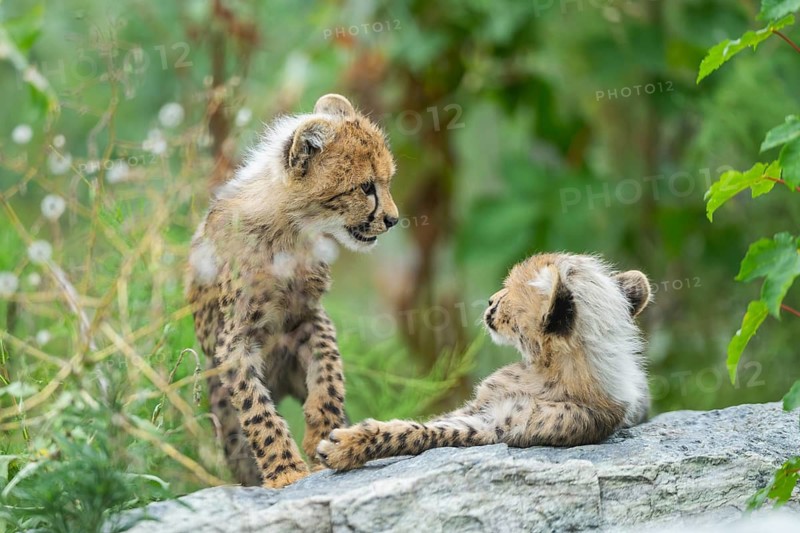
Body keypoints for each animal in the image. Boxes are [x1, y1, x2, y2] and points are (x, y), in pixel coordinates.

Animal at [186, 94, 398, 488]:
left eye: (388, 181)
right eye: (365, 187)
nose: (392, 220)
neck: (288, 228)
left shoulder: (310, 317)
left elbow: (329, 379)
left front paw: (322, 439)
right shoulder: (235, 339)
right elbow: (257, 411)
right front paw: (285, 471)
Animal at [316, 252, 651, 471]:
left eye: (512, 291)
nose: (490, 301)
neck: (551, 369)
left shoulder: (497, 427)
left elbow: (425, 432)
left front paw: (345, 446)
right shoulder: (479, 406)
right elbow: (431, 421)